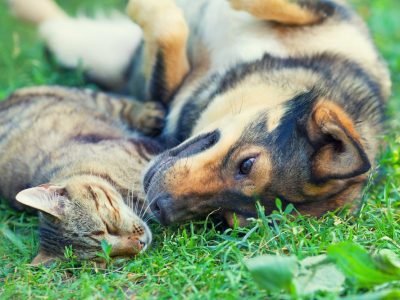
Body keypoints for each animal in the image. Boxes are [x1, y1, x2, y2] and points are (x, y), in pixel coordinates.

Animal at [9, 0, 390, 225]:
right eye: (247, 164)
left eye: (224, 218)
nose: (158, 207)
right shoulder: (330, 15)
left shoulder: (167, 97)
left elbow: (169, 31)